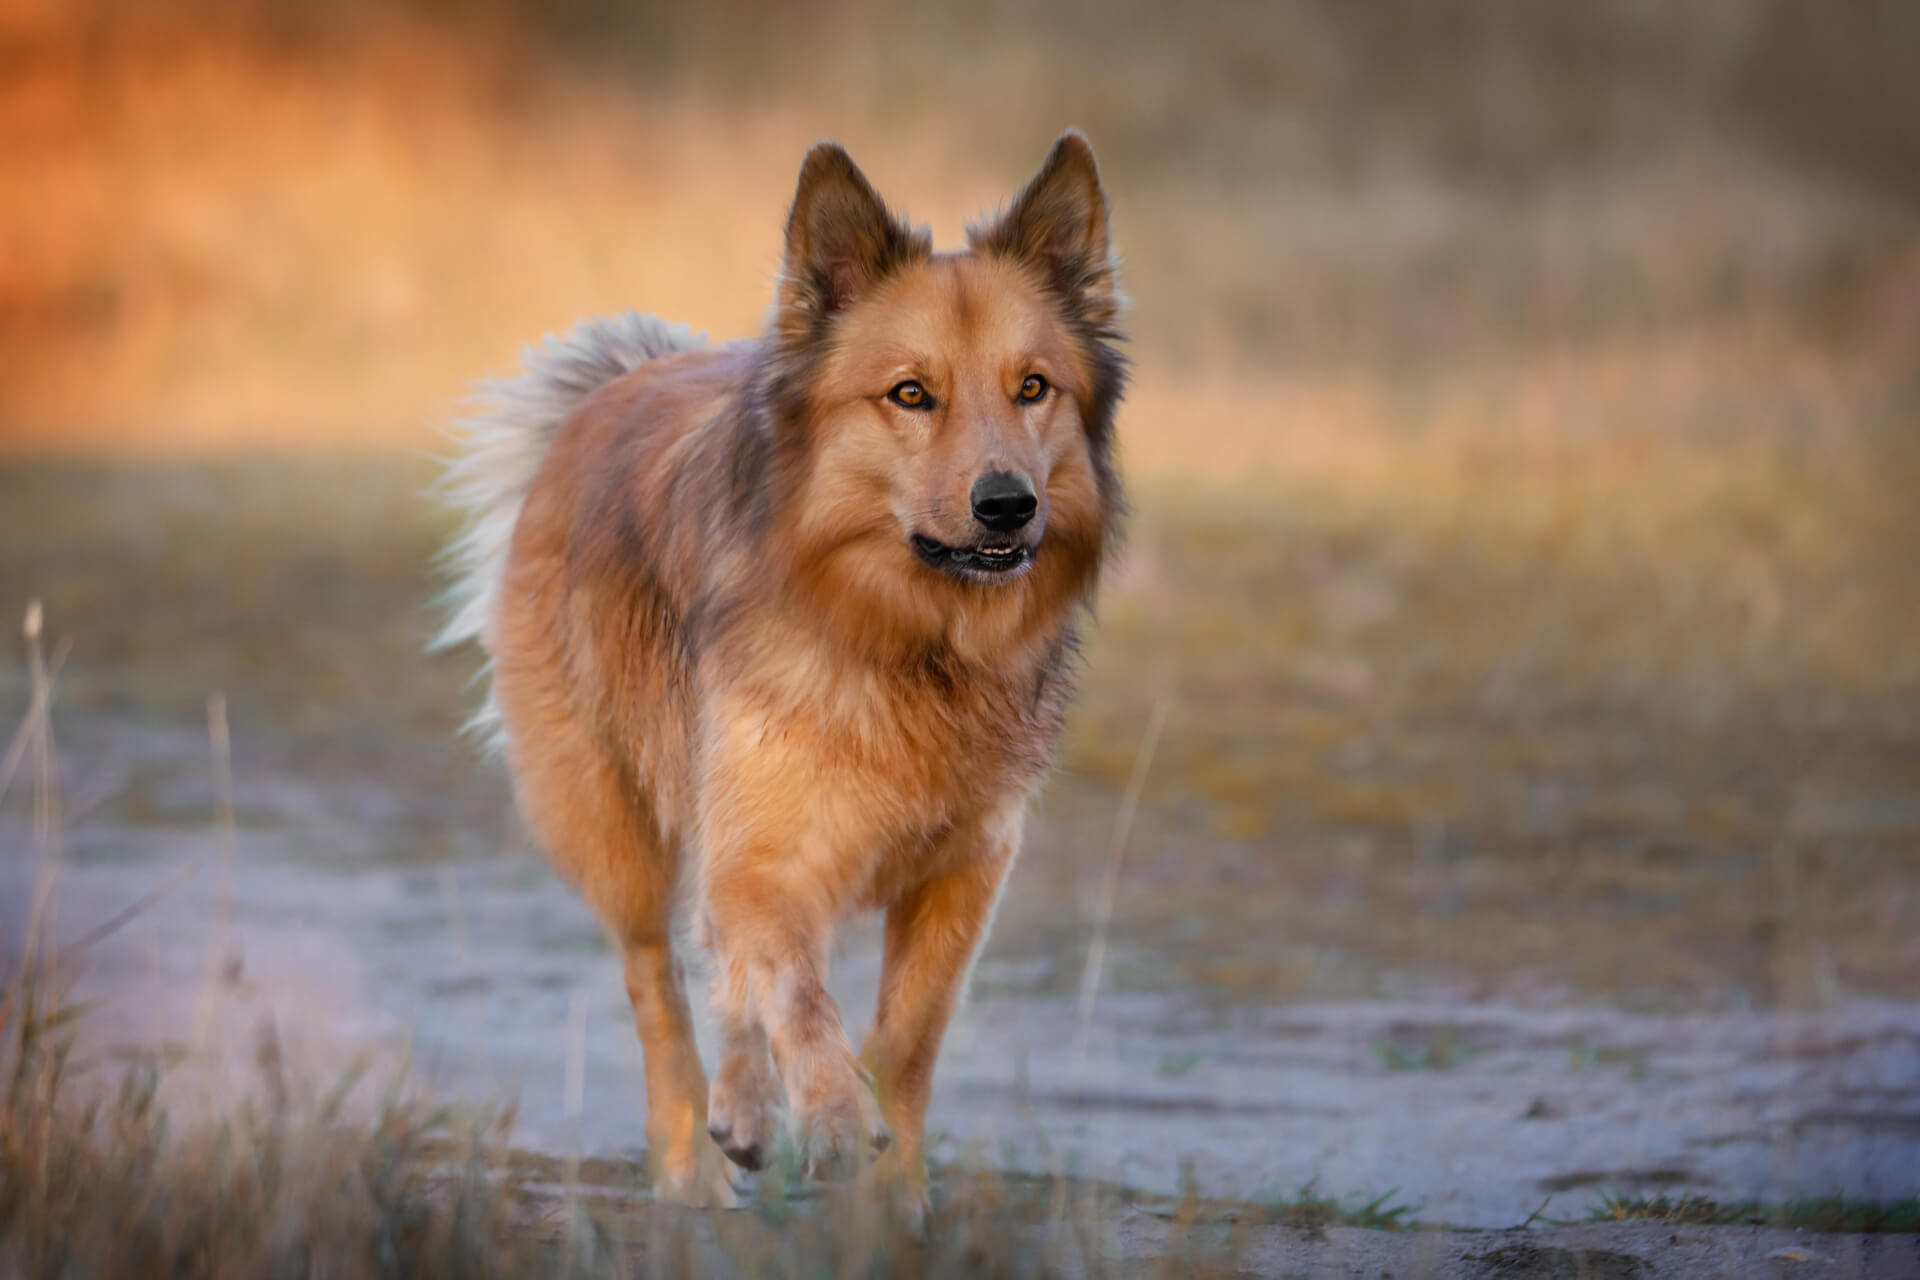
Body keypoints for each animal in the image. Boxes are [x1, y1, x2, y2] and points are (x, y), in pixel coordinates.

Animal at [435, 130, 1121, 1212]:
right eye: (910, 393)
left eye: (1033, 387)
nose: (1008, 505)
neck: (908, 640)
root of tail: (616, 383)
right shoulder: (764, 852)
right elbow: (796, 993)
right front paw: (834, 1119)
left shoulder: (966, 867)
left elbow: (906, 1034)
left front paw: (892, 1187)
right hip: (618, 829)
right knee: (661, 982)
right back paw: (695, 1162)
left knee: (720, 971)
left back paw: (749, 1116)